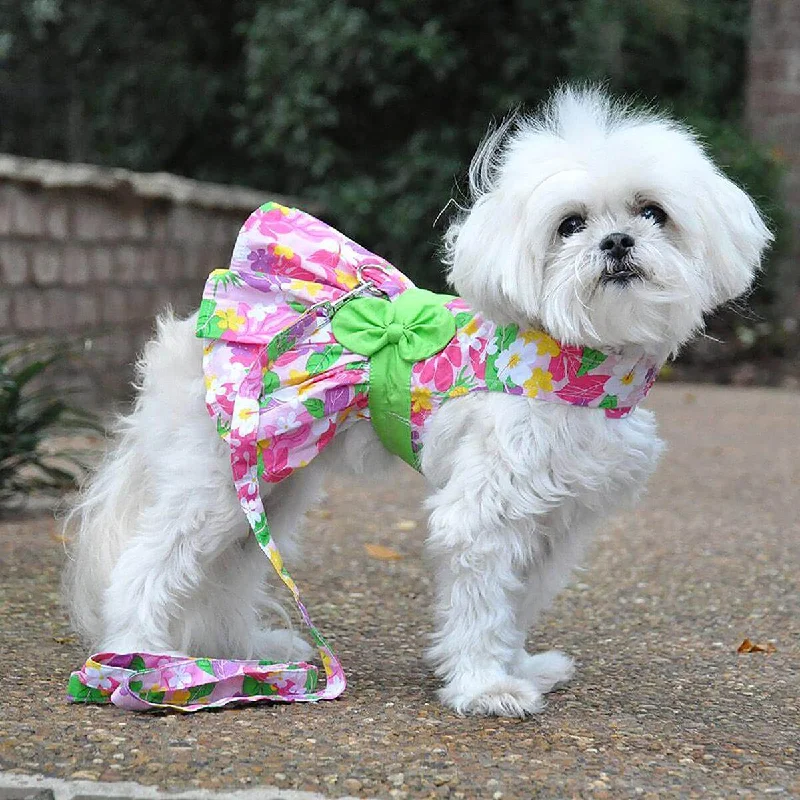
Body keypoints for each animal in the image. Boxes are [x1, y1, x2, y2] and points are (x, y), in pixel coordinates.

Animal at [67, 89, 768, 720]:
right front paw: (486, 688)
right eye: (570, 224)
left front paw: (520, 667)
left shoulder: (555, 522)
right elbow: (483, 604)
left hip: (271, 483)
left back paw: (240, 652)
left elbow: (518, 603)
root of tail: (187, 331)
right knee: (147, 563)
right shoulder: (484, 511)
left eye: (653, 213)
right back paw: (140, 660)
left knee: (231, 571)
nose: (618, 242)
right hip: (214, 483)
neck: (575, 360)